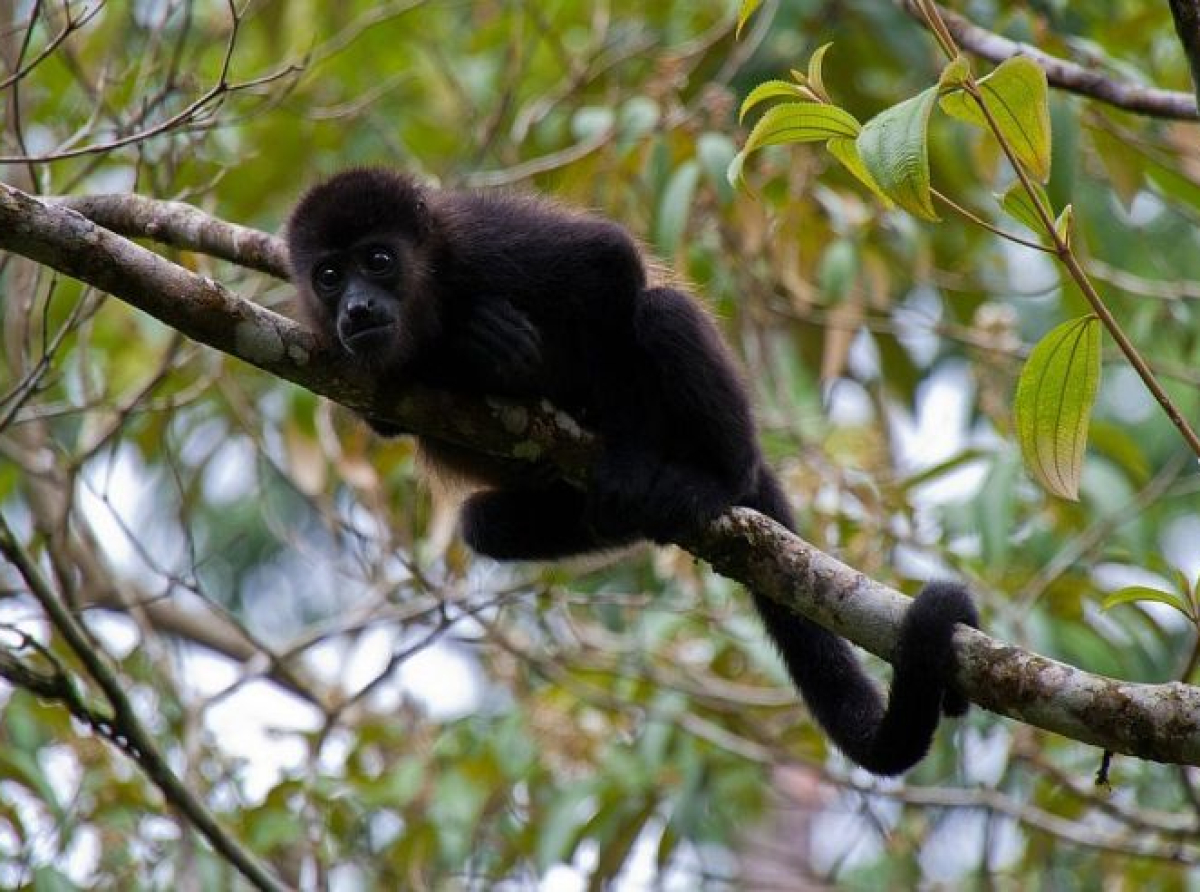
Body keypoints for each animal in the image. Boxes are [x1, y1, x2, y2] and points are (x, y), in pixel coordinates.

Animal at [288, 169, 974, 773]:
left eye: (378, 260)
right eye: (329, 276)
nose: (356, 307)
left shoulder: (480, 241)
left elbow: (608, 262)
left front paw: (488, 346)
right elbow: (384, 415)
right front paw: (469, 349)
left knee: (662, 313)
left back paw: (710, 480)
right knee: (484, 526)